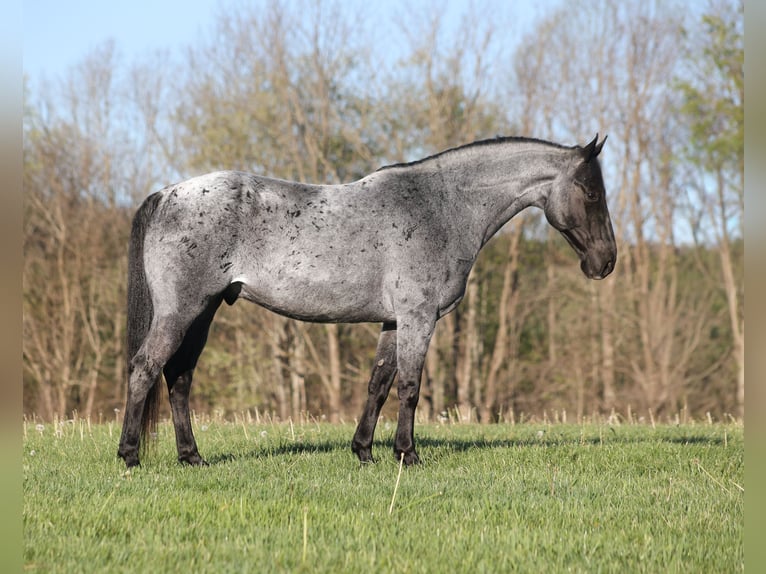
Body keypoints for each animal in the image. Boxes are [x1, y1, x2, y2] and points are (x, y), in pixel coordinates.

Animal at [117, 134, 616, 468]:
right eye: (592, 193)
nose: (606, 262)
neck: (441, 207)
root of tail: (166, 195)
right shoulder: (418, 317)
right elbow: (410, 387)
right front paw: (407, 455)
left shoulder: (394, 322)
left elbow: (378, 384)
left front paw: (363, 452)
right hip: (181, 312)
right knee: (146, 368)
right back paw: (130, 456)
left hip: (203, 312)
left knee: (179, 378)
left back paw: (192, 457)